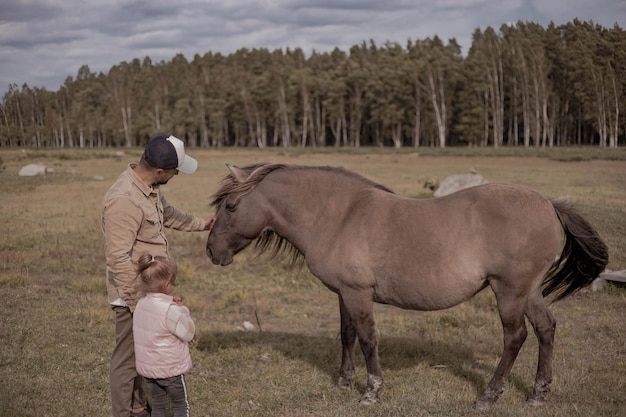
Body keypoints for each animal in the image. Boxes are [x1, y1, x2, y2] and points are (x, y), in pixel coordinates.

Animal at [205, 163, 604, 410]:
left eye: (231, 205)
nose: (212, 251)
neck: (338, 216)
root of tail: (548, 204)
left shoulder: (358, 294)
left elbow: (367, 339)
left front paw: (371, 392)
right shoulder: (344, 294)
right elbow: (346, 335)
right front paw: (343, 383)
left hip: (509, 291)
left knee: (515, 337)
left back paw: (489, 396)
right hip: (530, 291)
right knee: (546, 329)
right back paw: (538, 394)